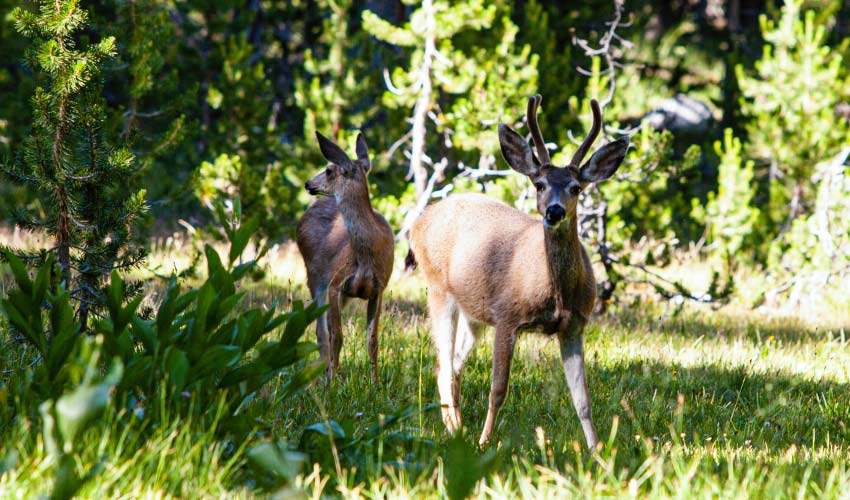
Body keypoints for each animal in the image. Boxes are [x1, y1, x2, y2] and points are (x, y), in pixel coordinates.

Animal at [296, 132, 392, 382]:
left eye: (329, 170)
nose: (308, 183)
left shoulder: (379, 288)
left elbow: (373, 341)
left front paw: (376, 384)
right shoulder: (335, 282)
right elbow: (337, 337)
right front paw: (334, 384)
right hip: (314, 278)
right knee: (321, 332)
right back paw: (325, 376)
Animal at [408, 95, 628, 448]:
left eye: (576, 187)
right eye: (539, 184)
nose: (554, 211)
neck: (557, 294)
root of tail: (419, 221)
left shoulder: (574, 327)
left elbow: (583, 399)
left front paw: (597, 450)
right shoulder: (507, 316)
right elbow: (498, 390)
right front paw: (484, 443)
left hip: (473, 313)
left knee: (454, 365)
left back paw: (458, 425)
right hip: (437, 288)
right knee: (442, 365)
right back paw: (454, 431)